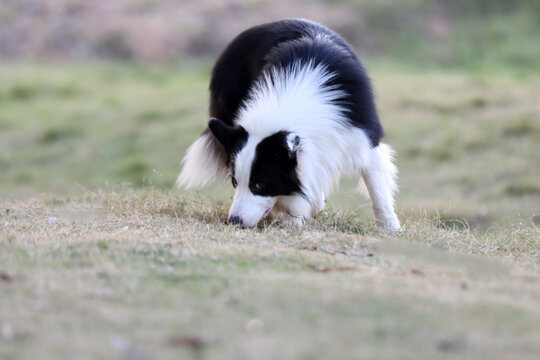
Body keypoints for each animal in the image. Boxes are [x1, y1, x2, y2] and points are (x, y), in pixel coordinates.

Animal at [177, 18, 400, 229]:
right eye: (235, 181)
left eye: (259, 185)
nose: (234, 221)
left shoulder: (361, 137)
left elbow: (377, 188)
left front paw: (391, 228)